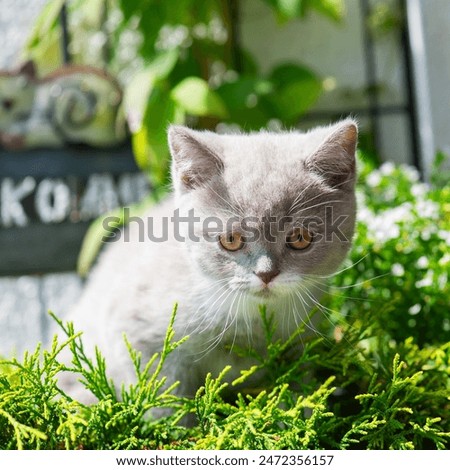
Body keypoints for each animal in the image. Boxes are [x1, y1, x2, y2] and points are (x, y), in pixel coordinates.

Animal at [61, 119, 358, 402]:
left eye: (299, 238)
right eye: (231, 240)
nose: (266, 274)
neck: (253, 320)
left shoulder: (299, 347)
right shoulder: (138, 337)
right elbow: (164, 401)